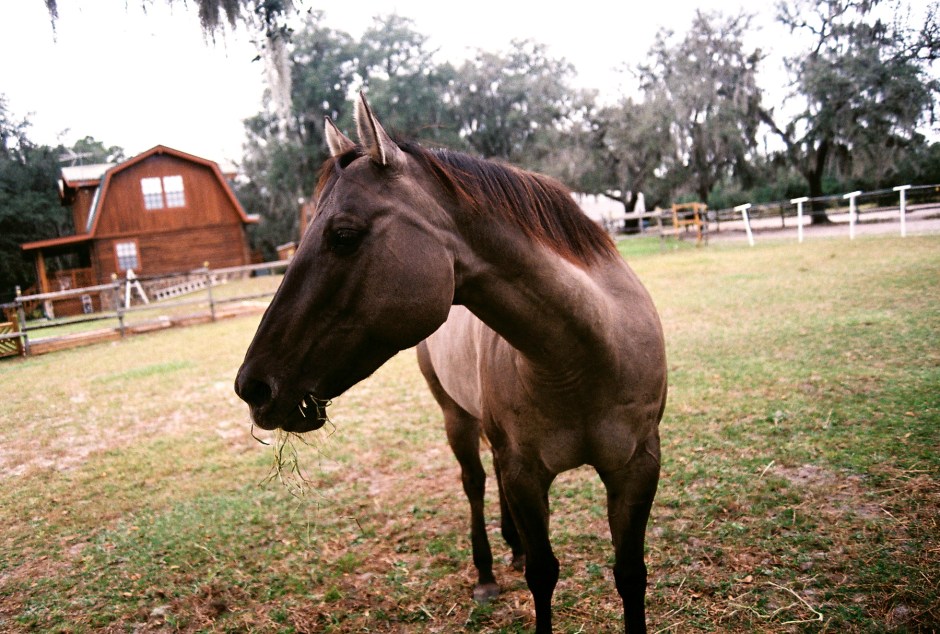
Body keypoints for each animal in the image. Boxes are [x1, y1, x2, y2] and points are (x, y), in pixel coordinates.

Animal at [235, 93, 668, 633]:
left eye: (344, 235)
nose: (253, 388)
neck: (582, 358)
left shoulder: (637, 467)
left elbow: (630, 574)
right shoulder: (526, 473)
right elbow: (544, 573)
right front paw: (512, 564)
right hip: (456, 418)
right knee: (476, 483)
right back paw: (487, 571)